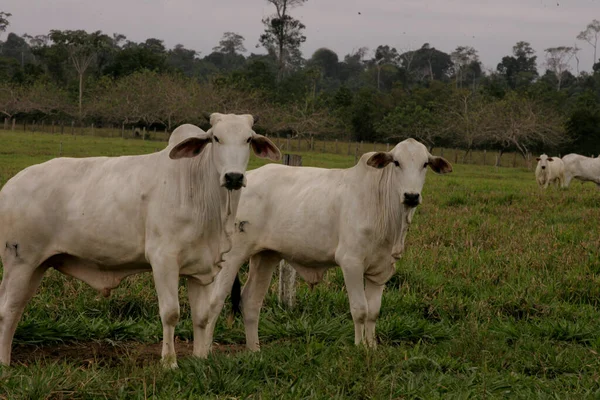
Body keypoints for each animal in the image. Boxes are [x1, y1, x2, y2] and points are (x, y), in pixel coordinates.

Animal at [0, 111, 282, 366]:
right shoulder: (163, 259)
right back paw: (4, 364)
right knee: (6, 311)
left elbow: (202, 316)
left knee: (16, 309)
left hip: (37, 266)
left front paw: (200, 359)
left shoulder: (201, 268)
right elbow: (170, 313)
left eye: (248, 138)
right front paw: (169, 363)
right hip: (19, 262)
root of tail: (10, 185)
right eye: (216, 138)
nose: (233, 177)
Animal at [197, 138, 450, 354]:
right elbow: (360, 310)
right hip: (233, 255)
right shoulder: (351, 263)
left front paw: (371, 348)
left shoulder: (381, 270)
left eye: (425, 164)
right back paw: (205, 352)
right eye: (397, 162)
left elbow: (374, 312)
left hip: (266, 256)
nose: (411, 196)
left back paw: (254, 350)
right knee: (215, 301)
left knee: (251, 301)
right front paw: (359, 348)